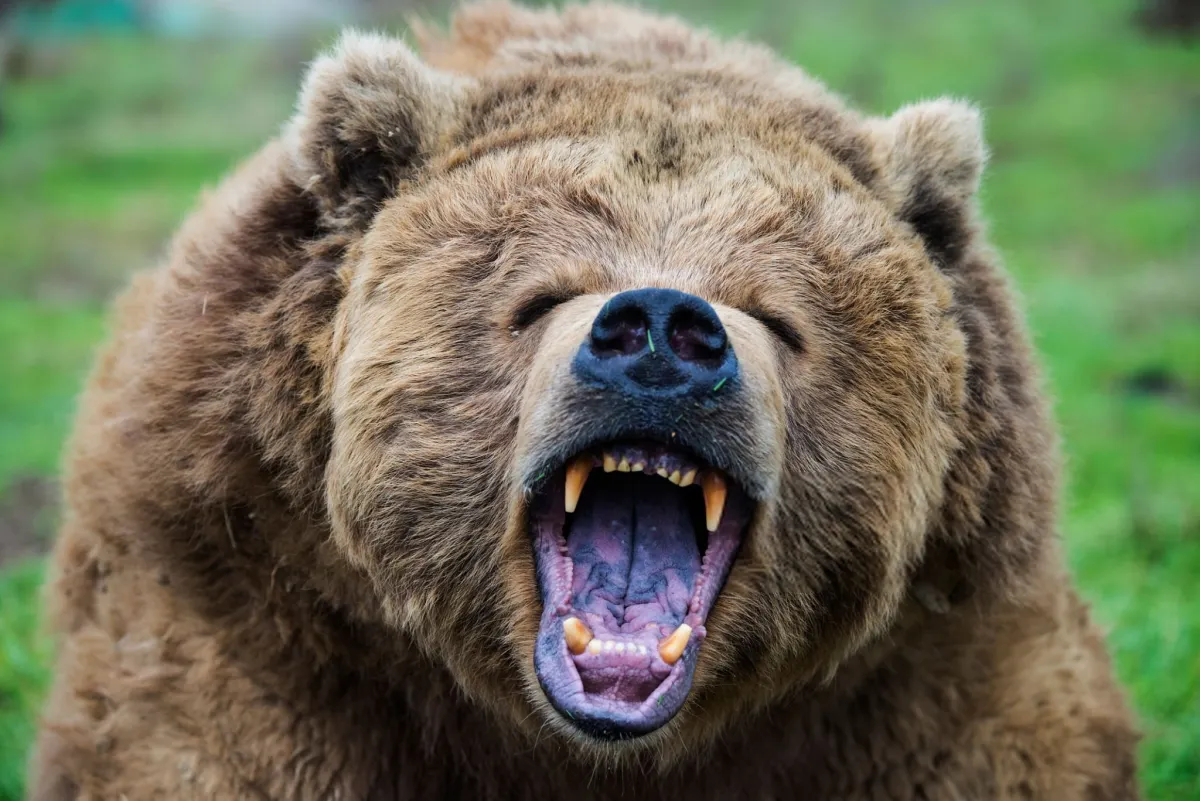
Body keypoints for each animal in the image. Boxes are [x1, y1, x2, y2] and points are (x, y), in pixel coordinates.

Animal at [30, 2, 1139, 798]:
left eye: (775, 313)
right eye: (540, 295)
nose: (659, 332)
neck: (589, 742)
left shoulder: (933, 665)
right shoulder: (253, 599)